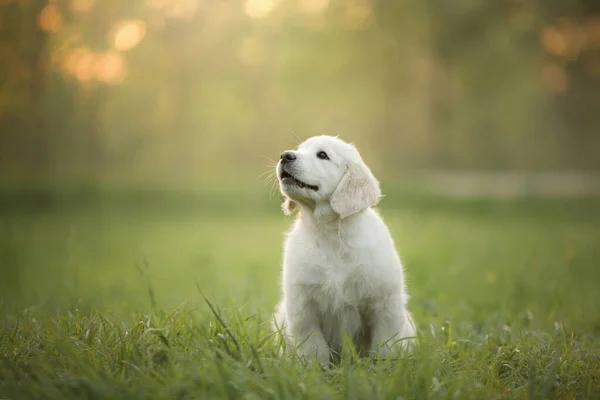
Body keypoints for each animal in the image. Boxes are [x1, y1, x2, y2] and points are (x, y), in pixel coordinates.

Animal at [274, 136, 418, 368]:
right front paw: (314, 371)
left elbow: (385, 345)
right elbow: (313, 348)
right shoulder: (303, 308)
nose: (285, 155)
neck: (331, 232)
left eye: (322, 155)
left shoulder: (383, 304)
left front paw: (384, 369)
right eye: (299, 149)